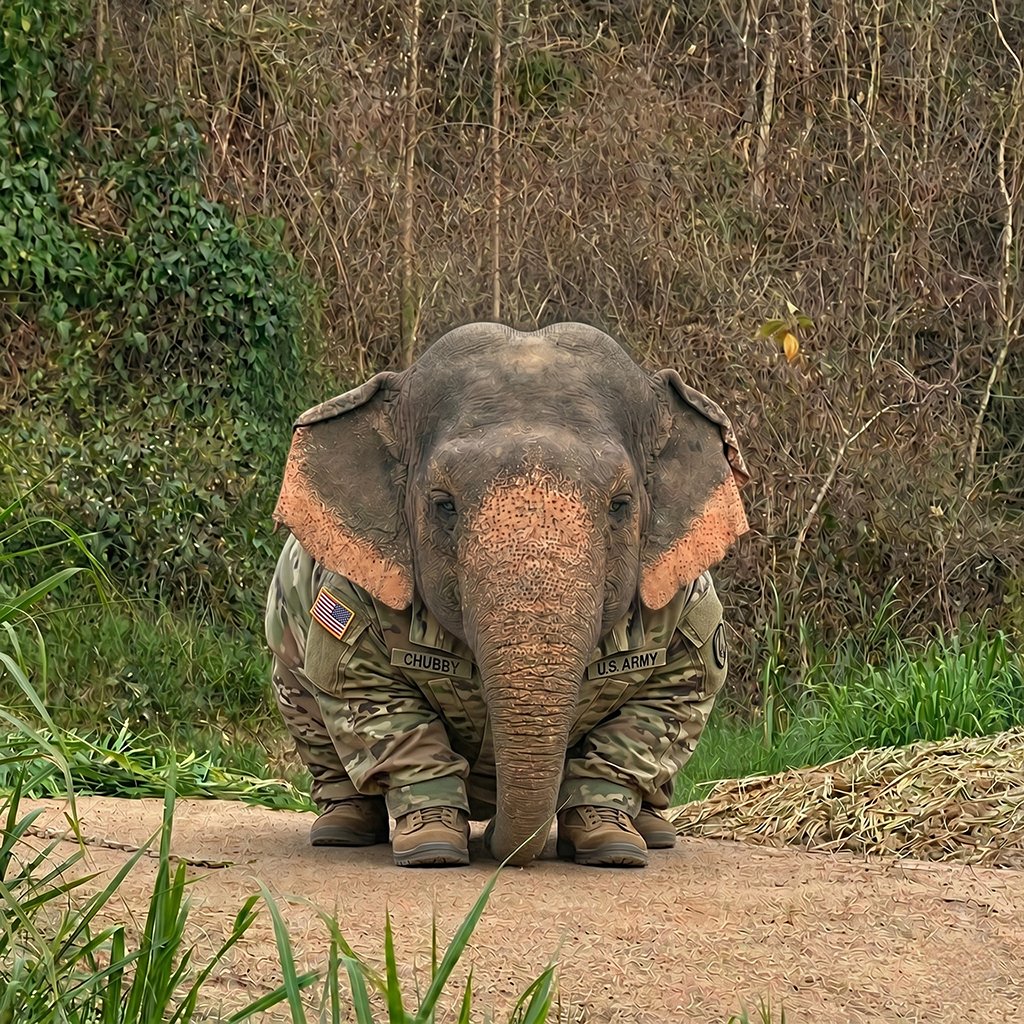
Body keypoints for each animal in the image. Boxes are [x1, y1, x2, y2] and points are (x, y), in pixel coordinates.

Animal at [267, 321, 748, 867]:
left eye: (621, 505)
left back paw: (652, 831)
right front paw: (432, 843)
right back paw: (341, 828)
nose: (494, 831)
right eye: (444, 505)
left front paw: (611, 842)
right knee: (311, 710)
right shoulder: (355, 593)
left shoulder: (686, 597)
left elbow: (672, 693)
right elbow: (367, 690)